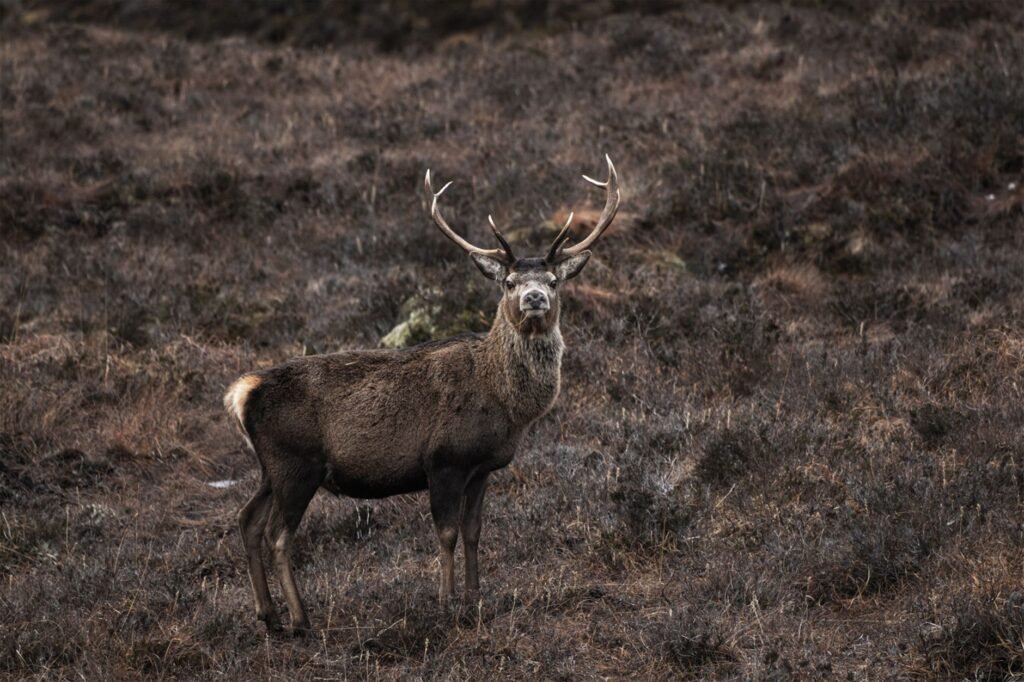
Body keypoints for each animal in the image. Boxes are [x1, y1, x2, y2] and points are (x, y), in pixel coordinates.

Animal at [224, 155, 621, 634]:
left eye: (553, 280)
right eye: (508, 282)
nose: (534, 298)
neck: (506, 405)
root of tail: (243, 393)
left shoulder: (481, 467)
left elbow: (473, 531)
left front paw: (475, 598)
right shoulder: (444, 459)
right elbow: (446, 533)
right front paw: (446, 604)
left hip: (271, 467)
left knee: (247, 520)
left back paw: (268, 615)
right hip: (297, 463)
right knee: (278, 535)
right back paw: (301, 620)